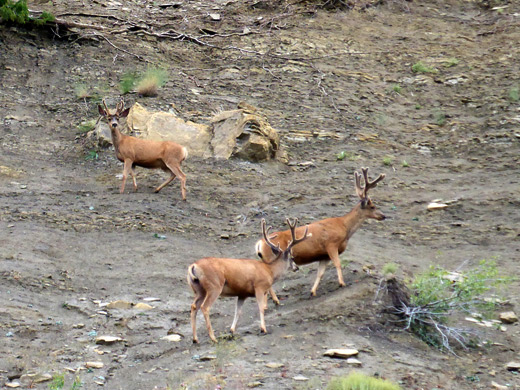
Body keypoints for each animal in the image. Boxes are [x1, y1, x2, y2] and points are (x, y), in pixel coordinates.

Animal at [256, 166, 386, 298]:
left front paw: (313, 291)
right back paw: (275, 299)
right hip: (272, 257)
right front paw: (342, 283)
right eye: (372, 206)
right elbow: (338, 264)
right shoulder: (331, 244)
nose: (384, 216)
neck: (344, 226)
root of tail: (259, 244)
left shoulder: (324, 255)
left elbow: (320, 273)